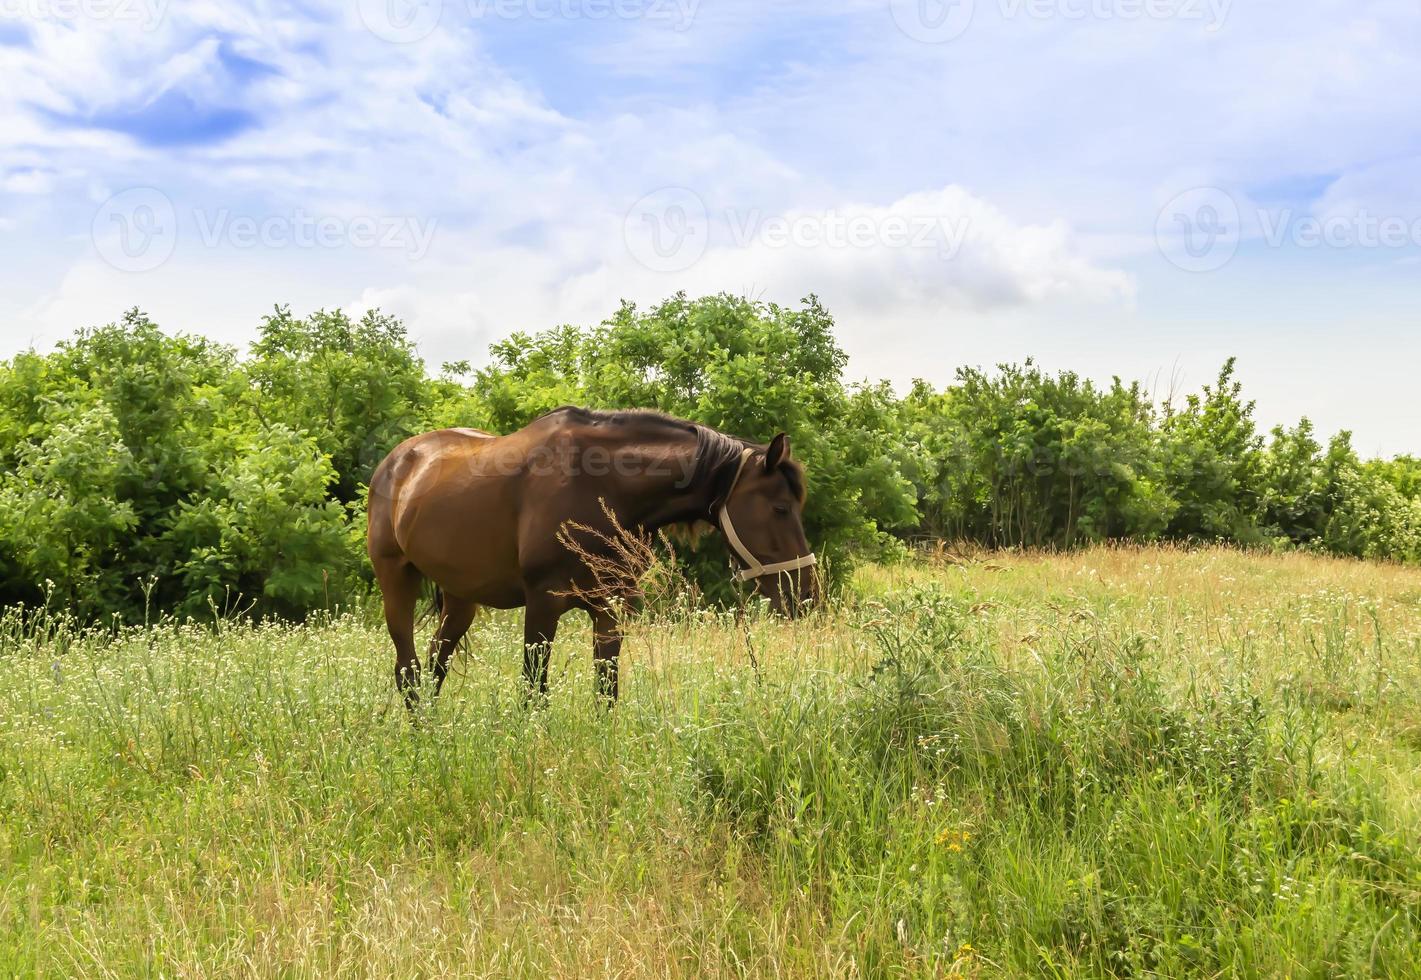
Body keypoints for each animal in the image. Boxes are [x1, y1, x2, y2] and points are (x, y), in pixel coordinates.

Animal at [366, 403, 818, 701]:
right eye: (780, 508)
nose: (806, 593)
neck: (600, 485)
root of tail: (396, 462)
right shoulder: (543, 604)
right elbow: (534, 691)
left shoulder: (610, 608)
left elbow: (606, 690)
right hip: (396, 580)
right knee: (408, 671)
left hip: (461, 598)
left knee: (434, 665)